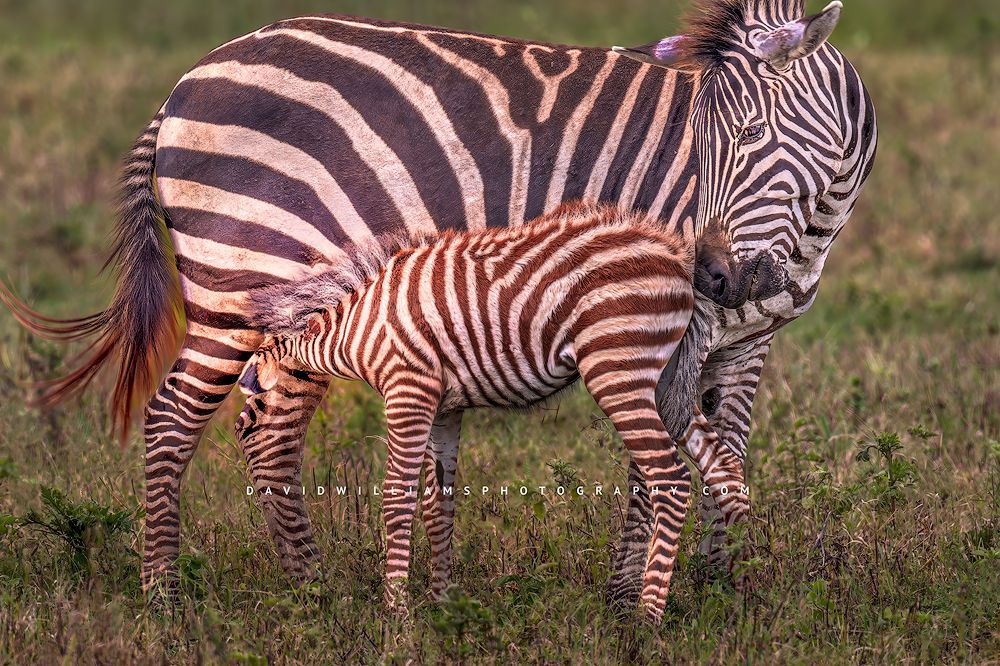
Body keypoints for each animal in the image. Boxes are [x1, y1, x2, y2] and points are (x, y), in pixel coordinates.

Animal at [237, 201, 748, 622]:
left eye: (250, 412)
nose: (240, 418)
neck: (359, 328)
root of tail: (677, 255)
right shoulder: (445, 408)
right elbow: (437, 505)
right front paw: (441, 607)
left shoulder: (408, 390)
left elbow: (397, 500)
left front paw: (396, 617)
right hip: (666, 383)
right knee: (726, 471)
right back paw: (740, 588)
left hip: (617, 369)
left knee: (673, 480)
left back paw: (647, 618)